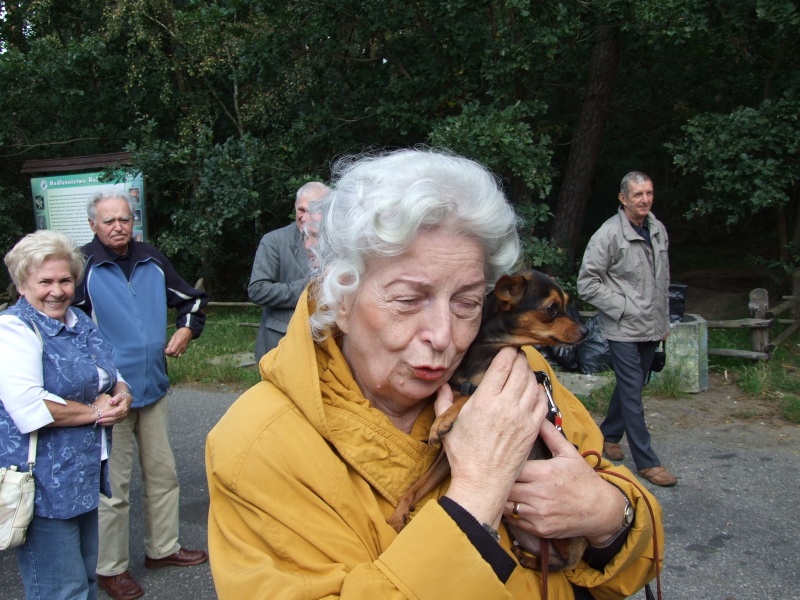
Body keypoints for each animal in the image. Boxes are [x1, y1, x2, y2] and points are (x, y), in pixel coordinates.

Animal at [387, 269, 588, 572]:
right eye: (553, 309)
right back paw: (524, 556)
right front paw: (400, 512)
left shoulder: (485, 392)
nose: (586, 331)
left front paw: (441, 420)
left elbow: (467, 398)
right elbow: (417, 487)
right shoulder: (446, 461)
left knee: (563, 563)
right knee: (552, 561)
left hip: (565, 533)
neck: (486, 352)